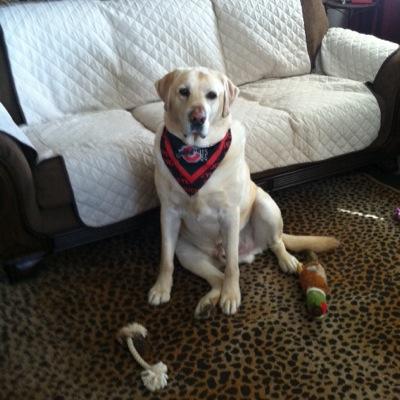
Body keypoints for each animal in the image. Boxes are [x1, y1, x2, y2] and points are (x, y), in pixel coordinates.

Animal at [149, 67, 339, 318]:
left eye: (212, 95)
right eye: (183, 92)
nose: (198, 117)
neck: (196, 153)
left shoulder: (229, 214)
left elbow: (231, 268)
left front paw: (231, 295)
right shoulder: (168, 213)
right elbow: (165, 259)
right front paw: (161, 288)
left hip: (265, 206)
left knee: (274, 243)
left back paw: (287, 260)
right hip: (187, 252)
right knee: (217, 277)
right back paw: (207, 303)